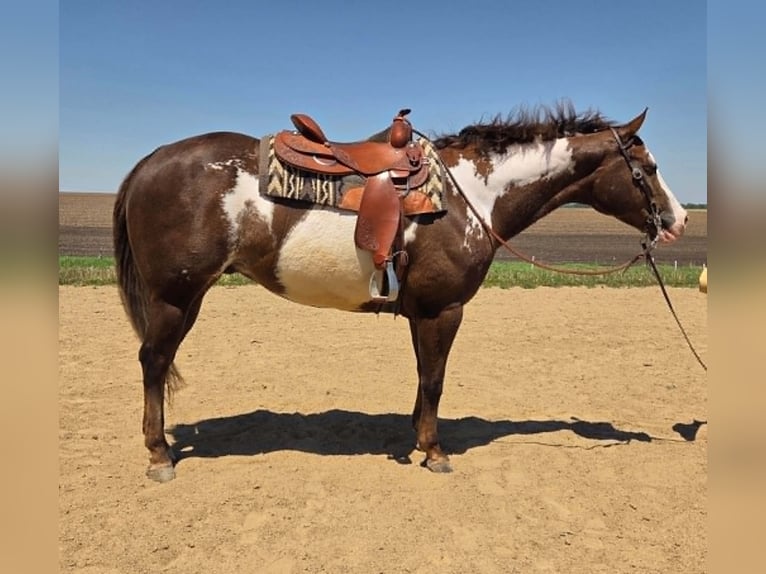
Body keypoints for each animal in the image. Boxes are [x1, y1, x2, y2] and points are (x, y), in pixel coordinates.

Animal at [113, 103, 689, 482]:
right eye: (649, 169)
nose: (679, 220)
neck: (468, 193)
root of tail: (151, 160)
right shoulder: (444, 310)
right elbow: (435, 379)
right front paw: (435, 452)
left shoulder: (420, 312)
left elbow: (422, 377)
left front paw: (417, 436)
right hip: (175, 296)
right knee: (153, 361)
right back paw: (159, 456)